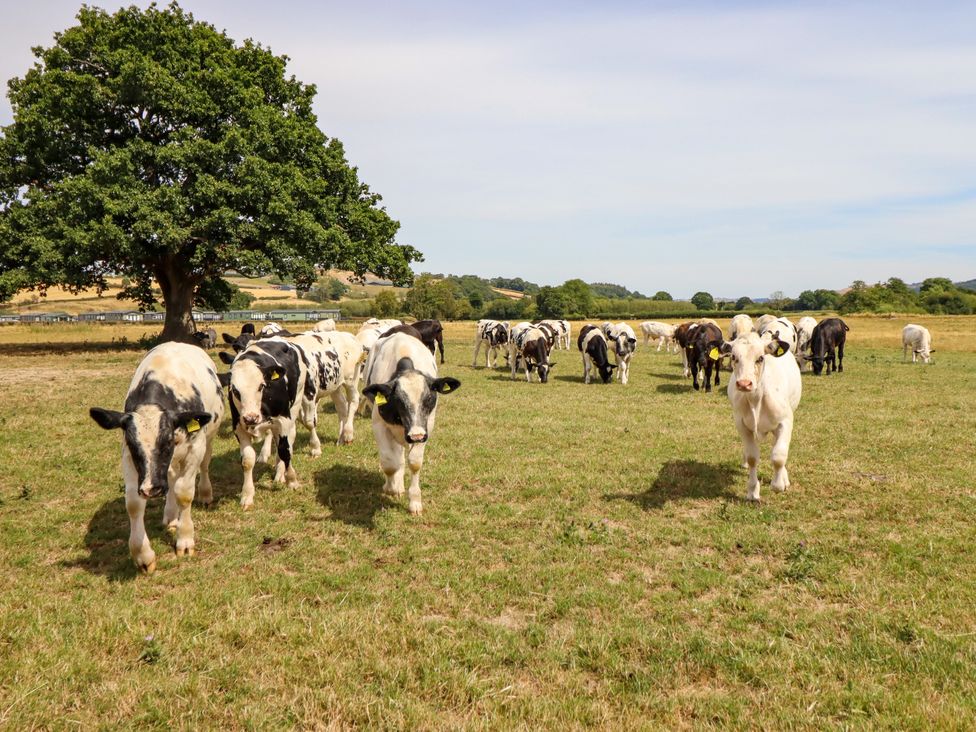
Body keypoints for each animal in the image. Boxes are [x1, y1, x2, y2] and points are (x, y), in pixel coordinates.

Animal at [89, 342, 224, 573]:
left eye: (167, 441)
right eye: (133, 444)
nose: (152, 489)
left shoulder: (195, 447)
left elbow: (184, 492)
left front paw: (185, 539)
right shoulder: (129, 458)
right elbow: (134, 503)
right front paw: (143, 555)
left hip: (207, 439)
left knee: (203, 466)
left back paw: (205, 494)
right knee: (170, 477)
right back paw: (170, 515)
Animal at [362, 333, 461, 515]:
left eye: (428, 397)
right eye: (398, 400)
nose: (416, 435)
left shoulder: (426, 427)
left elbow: (414, 463)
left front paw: (414, 501)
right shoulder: (379, 425)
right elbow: (389, 462)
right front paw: (390, 487)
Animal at [718, 332, 801, 501]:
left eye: (761, 358)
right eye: (734, 357)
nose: (744, 384)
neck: (756, 400)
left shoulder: (786, 421)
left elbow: (779, 455)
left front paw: (778, 484)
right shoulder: (741, 425)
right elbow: (752, 458)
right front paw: (752, 491)